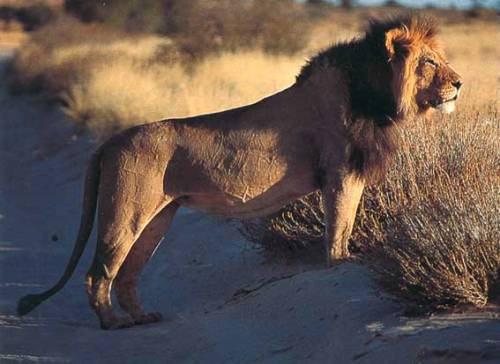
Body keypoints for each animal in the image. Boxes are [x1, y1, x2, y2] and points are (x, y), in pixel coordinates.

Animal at [16, 14, 460, 330]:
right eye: (430, 62)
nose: (459, 83)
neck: (375, 94)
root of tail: (111, 140)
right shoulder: (340, 173)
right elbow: (340, 224)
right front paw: (341, 261)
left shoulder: (347, 174)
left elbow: (346, 222)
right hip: (125, 212)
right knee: (98, 274)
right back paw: (112, 323)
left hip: (157, 218)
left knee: (126, 274)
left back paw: (140, 318)